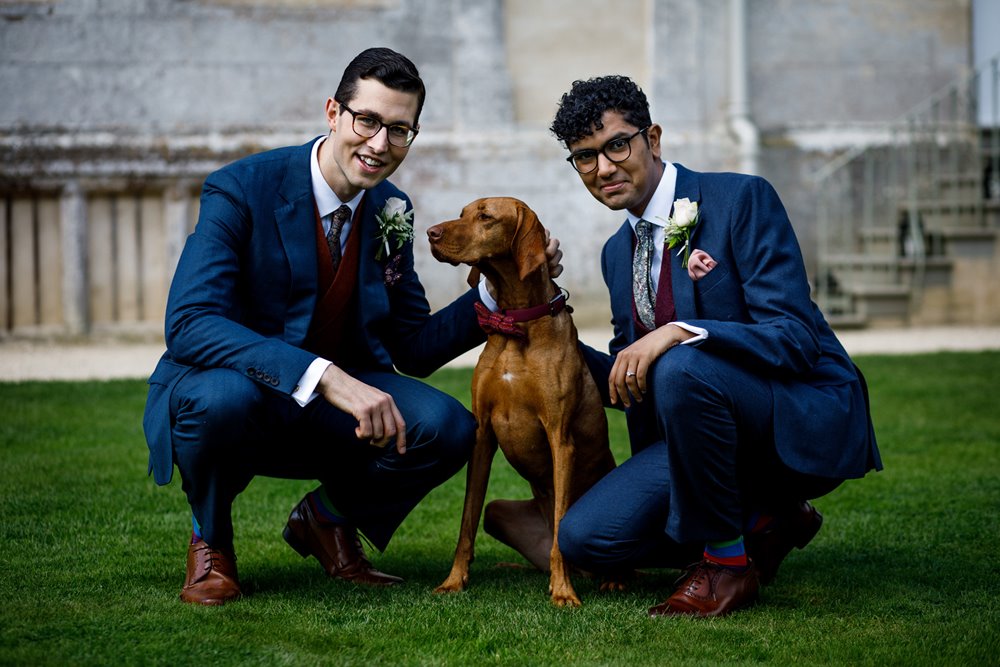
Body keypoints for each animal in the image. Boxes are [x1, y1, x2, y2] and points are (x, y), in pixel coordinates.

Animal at [424, 196, 612, 608]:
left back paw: (609, 579)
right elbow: (466, 521)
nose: (430, 233)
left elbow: (561, 527)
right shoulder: (482, 437)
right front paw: (453, 581)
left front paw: (563, 592)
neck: (516, 323)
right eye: (461, 213)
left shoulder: (560, 438)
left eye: (485, 216)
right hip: (499, 512)